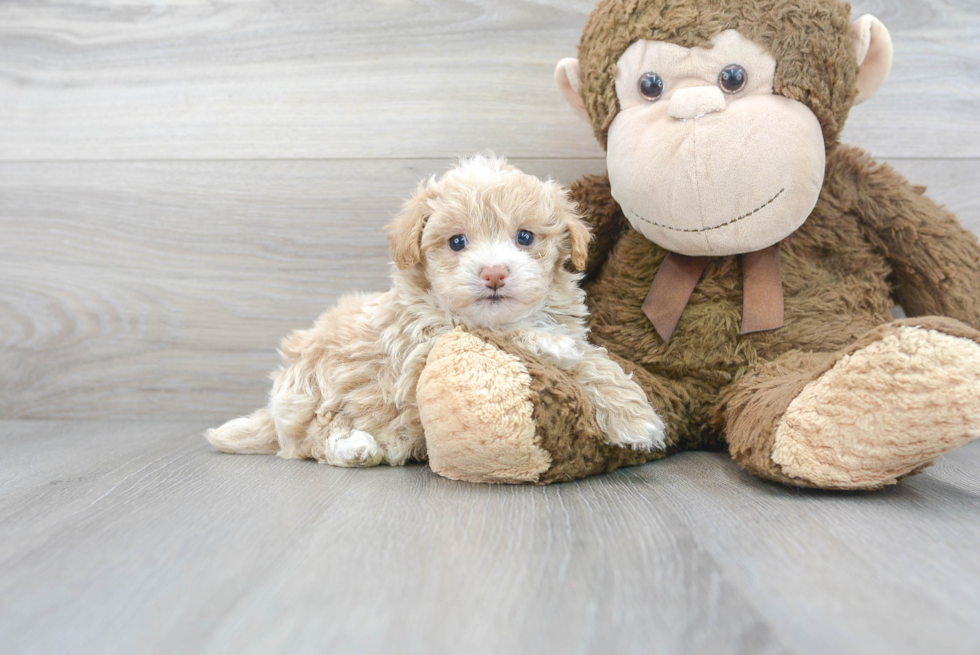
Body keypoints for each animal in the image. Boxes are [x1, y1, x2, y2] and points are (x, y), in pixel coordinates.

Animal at [207, 156, 668, 468]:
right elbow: (498, 336)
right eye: (457, 242)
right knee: (311, 439)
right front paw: (547, 343)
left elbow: (594, 362)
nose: (494, 273)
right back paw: (355, 446)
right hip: (315, 390)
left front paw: (635, 417)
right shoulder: (419, 350)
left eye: (524, 237)